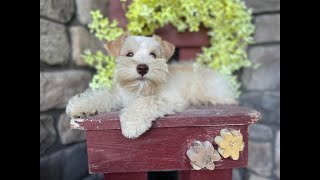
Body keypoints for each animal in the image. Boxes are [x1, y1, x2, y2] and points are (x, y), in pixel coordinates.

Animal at [66, 33, 236, 138]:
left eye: (153, 55)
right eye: (129, 54)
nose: (142, 68)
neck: (138, 90)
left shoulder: (168, 99)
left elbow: (145, 102)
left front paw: (132, 124)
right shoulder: (118, 95)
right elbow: (101, 96)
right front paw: (79, 107)